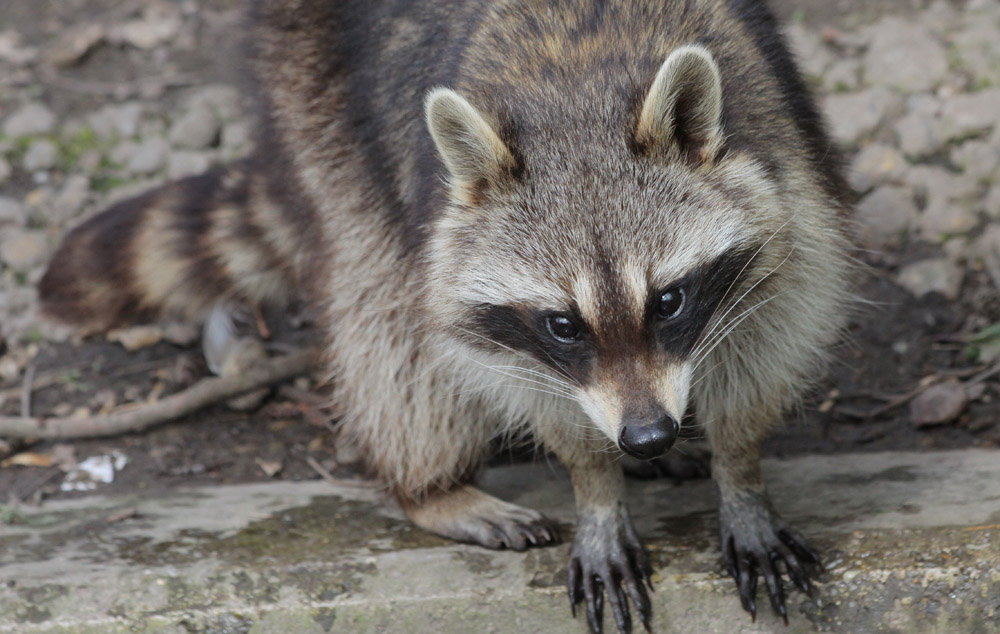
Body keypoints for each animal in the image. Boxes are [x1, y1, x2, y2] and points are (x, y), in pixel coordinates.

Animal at [39, 2, 852, 628]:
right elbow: (517, 381)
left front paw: (737, 473)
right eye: (563, 325)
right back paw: (427, 486)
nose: (646, 433)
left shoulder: (783, 168)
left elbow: (774, 330)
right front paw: (594, 485)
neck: (578, 92)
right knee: (384, 312)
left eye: (669, 300)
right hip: (315, 88)